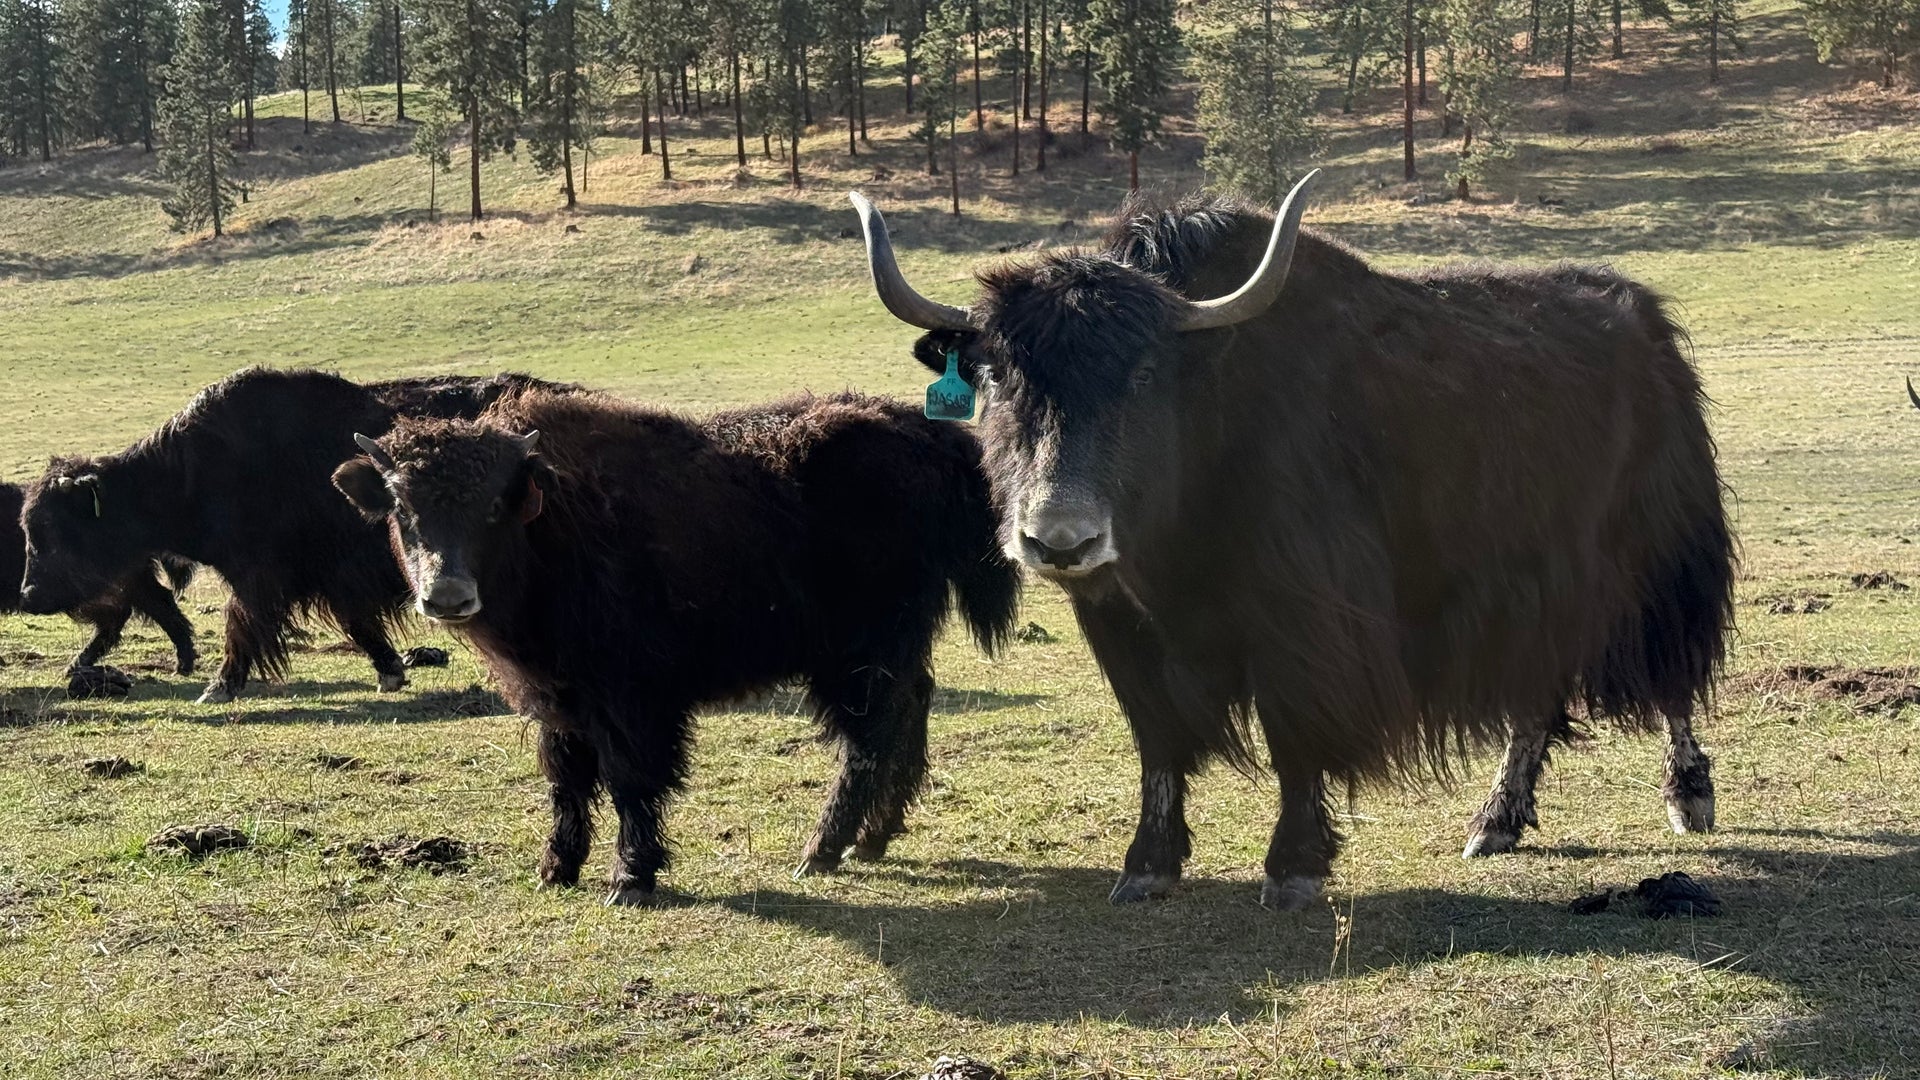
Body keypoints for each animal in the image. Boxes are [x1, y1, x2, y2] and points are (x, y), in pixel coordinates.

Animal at [331, 386, 1020, 904]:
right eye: (401, 503)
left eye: (496, 503)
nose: (446, 595)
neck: (555, 524)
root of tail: (928, 436)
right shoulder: (558, 699)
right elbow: (566, 780)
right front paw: (556, 869)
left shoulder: (631, 700)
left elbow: (630, 779)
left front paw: (630, 879)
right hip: (894, 648)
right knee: (911, 710)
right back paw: (876, 837)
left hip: (856, 657)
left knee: (869, 737)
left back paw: (822, 851)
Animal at [848, 173, 1735, 909]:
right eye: (999, 376)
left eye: (1143, 377)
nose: (1059, 540)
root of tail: (1646, 319)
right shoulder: (1123, 626)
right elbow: (1157, 740)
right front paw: (1148, 866)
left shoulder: (1302, 620)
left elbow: (1295, 735)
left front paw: (1295, 867)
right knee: (1535, 693)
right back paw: (1496, 822)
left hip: (1656, 556)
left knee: (1672, 675)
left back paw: (1687, 798)